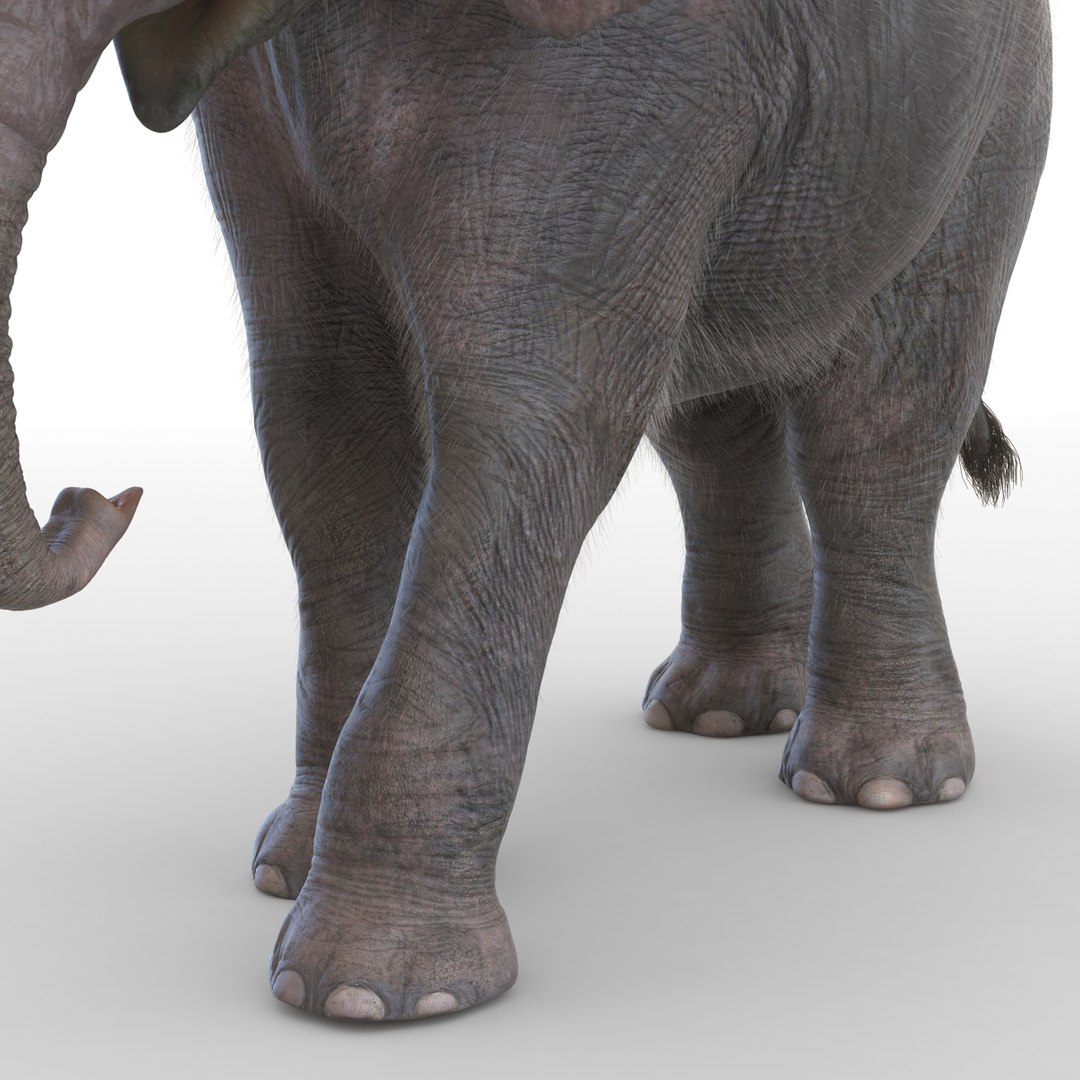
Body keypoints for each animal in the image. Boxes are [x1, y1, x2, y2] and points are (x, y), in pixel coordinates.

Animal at [0, 0, 1052, 1022]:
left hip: (987, 114)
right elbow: (319, 405)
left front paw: (367, 991)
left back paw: (879, 785)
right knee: (713, 411)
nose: (97, 498)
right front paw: (282, 877)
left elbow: (535, 412)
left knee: (878, 411)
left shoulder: (637, 67)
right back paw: (721, 715)